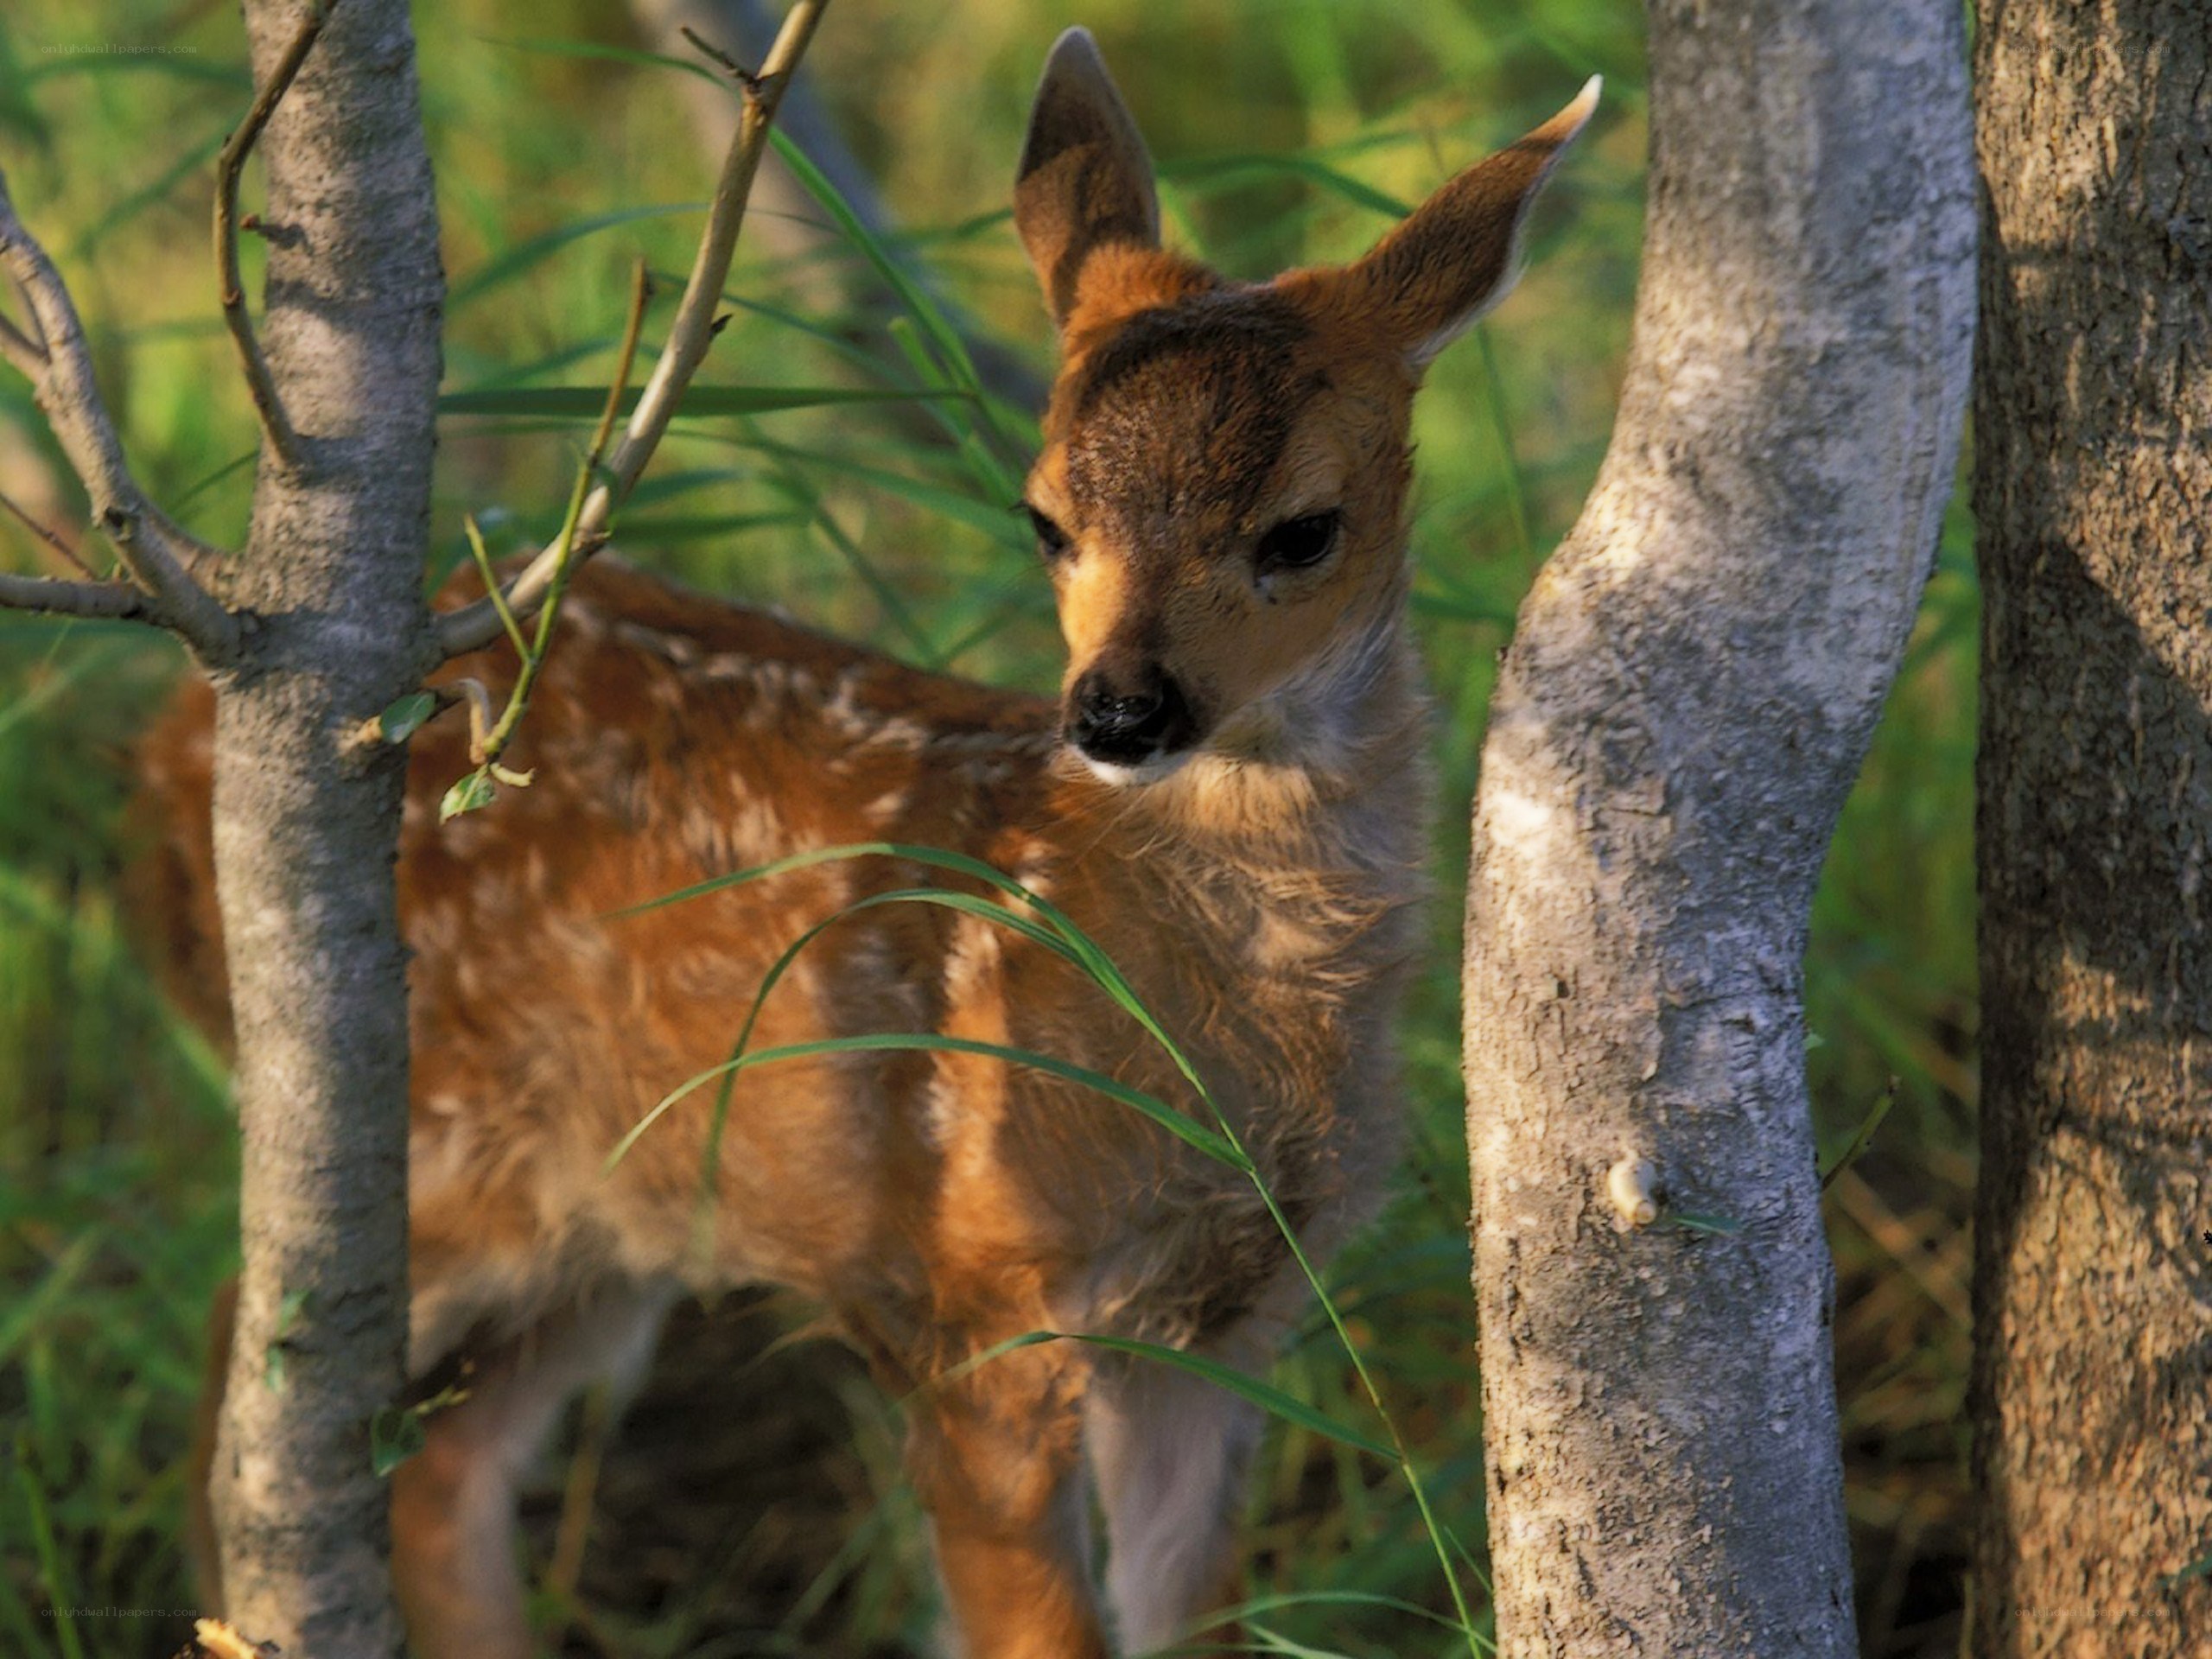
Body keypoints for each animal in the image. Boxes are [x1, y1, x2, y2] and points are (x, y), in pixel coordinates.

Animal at [136, 29, 1595, 1659]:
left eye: (1301, 531)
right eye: (1044, 519)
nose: (1120, 709)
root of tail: (166, 756)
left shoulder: (1236, 1318)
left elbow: (1194, 1616)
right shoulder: (976, 1302)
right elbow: (1042, 1627)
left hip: (610, 1216)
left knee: (441, 1457)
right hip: (432, 1149)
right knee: (248, 1377)